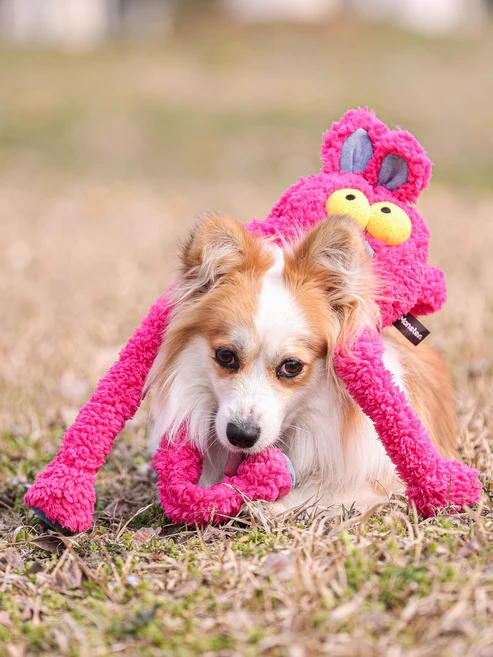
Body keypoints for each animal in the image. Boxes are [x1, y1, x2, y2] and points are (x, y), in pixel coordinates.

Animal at [145, 212, 457, 513]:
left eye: (292, 366)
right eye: (225, 356)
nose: (241, 435)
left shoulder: (376, 475)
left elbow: (328, 489)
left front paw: (270, 504)